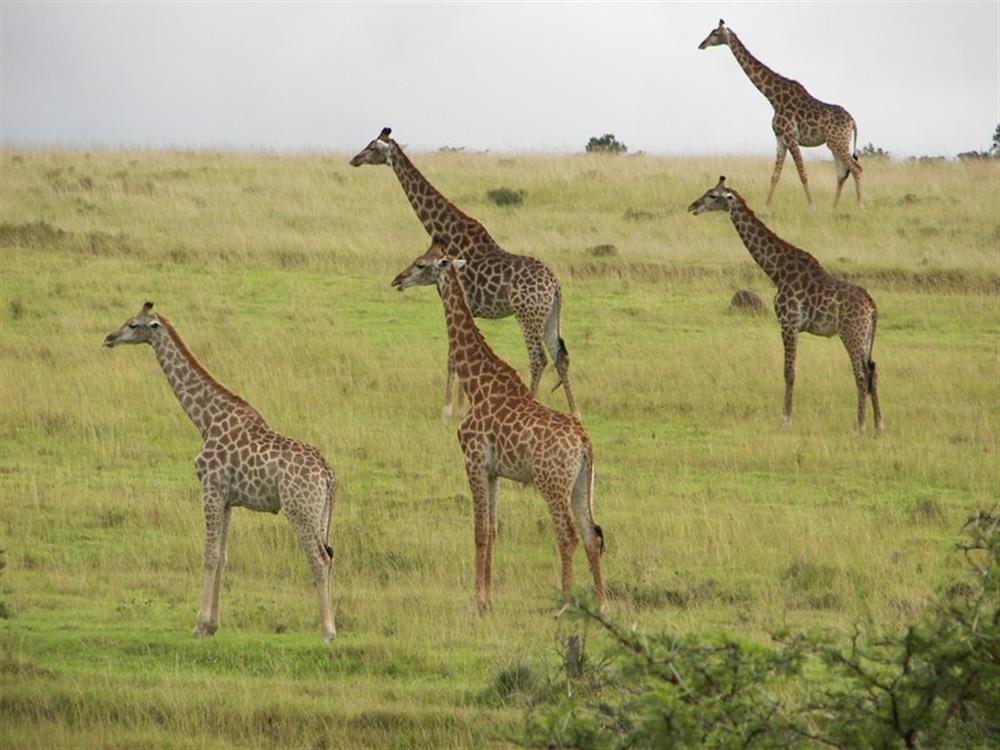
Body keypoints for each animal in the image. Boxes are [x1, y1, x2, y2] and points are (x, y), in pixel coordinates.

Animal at [104, 302, 340, 644]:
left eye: (134, 324)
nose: (109, 338)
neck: (205, 419)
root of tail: (328, 475)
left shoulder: (210, 488)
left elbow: (209, 554)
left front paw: (199, 626)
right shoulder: (228, 499)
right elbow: (224, 556)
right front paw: (213, 625)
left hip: (299, 510)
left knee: (319, 559)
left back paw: (327, 632)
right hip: (320, 515)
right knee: (330, 556)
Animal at [352, 130, 580, 424]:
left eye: (371, 147)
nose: (354, 159)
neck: (449, 231)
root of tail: (555, 284)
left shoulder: (454, 296)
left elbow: (452, 356)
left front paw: (449, 409)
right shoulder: (469, 305)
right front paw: (462, 406)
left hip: (527, 314)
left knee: (538, 357)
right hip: (550, 315)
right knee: (560, 356)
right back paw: (575, 411)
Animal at [394, 241, 604, 616]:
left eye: (420, 264)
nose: (397, 280)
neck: (478, 384)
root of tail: (584, 443)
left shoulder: (474, 460)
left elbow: (479, 529)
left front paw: (477, 600)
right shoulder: (495, 471)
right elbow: (492, 529)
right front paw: (488, 598)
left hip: (551, 483)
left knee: (566, 533)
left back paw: (565, 604)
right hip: (582, 483)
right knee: (591, 533)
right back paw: (602, 603)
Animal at [688, 178, 884, 434]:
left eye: (712, 195)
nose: (692, 206)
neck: (777, 271)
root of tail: (871, 306)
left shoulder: (788, 323)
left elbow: (788, 372)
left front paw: (785, 422)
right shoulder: (791, 326)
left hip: (851, 333)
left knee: (860, 374)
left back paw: (859, 427)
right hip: (866, 335)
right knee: (872, 370)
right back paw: (878, 426)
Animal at [700, 20, 864, 209]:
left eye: (715, 33)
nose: (701, 44)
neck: (774, 98)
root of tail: (853, 121)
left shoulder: (791, 136)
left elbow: (803, 173)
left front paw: (811, 206)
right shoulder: (780, 138)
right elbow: (775, 175)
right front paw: (765, 206)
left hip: (838, 142)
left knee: (856, 168)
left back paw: (860, 206)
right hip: (835, 144)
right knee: (842, 172)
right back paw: (833, 207)